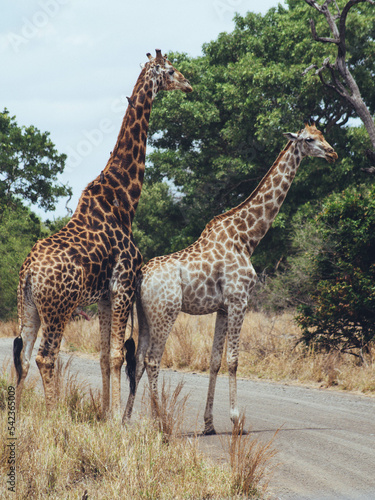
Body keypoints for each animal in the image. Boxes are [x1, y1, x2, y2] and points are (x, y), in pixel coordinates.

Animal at [13, 50, 192, 418]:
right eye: (170, 71)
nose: (189, 84)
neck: (124, 199)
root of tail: (28, 272)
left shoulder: (106, 295)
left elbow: (102, 355)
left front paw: (105, 414)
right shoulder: (123, 284)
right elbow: (117, 354)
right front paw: (114, 419)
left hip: (29, 306)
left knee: (23, 354)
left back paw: (19, 415)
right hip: (59, 307)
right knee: (46, 356)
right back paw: (54, 416)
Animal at [123, 123, 338, 432]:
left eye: (322, 135)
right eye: (310, 140)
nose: (332, 153)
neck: (247, 238)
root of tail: (141, 277)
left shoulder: (223, 307)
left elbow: (214, 361)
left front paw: (209, 424)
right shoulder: (239, 300)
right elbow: (234, 359)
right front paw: (237, 420)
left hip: (144, 313)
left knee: (139, 360)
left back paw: (127, 420)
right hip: (166, 311)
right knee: (153, 360)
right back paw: (160, 421)